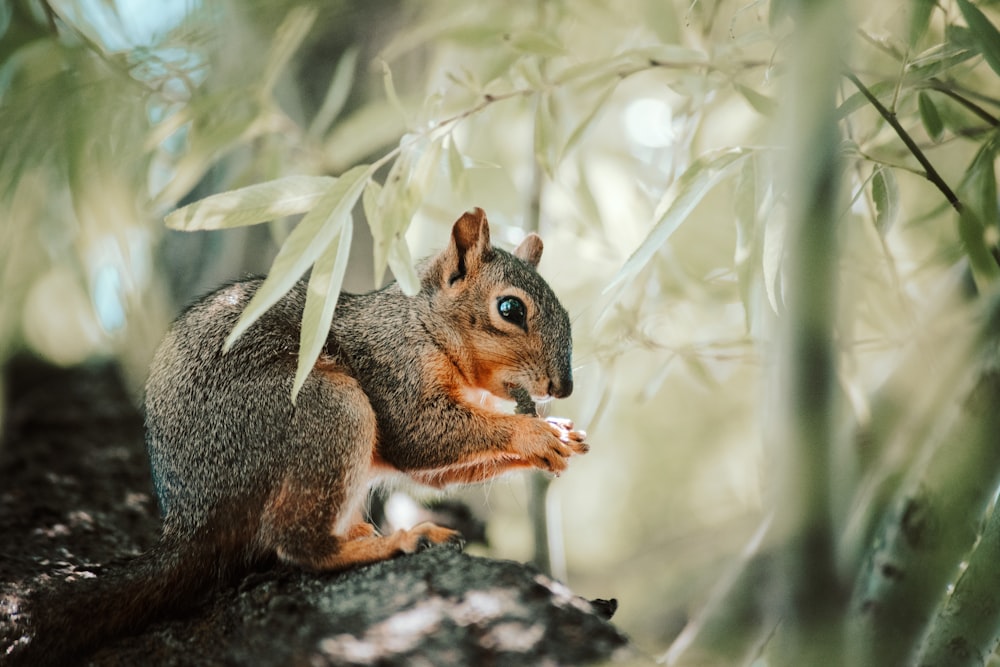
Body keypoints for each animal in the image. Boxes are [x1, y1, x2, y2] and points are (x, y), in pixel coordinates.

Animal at [11, 207, 588, 664]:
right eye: (510, 309)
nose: (563, 387)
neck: (422, 326)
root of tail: (192, 517)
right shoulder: (394, 372)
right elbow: (421, 437)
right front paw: (535, 433)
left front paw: (559, 434)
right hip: (328, 411)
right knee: (295, 542)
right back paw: (390, 542)